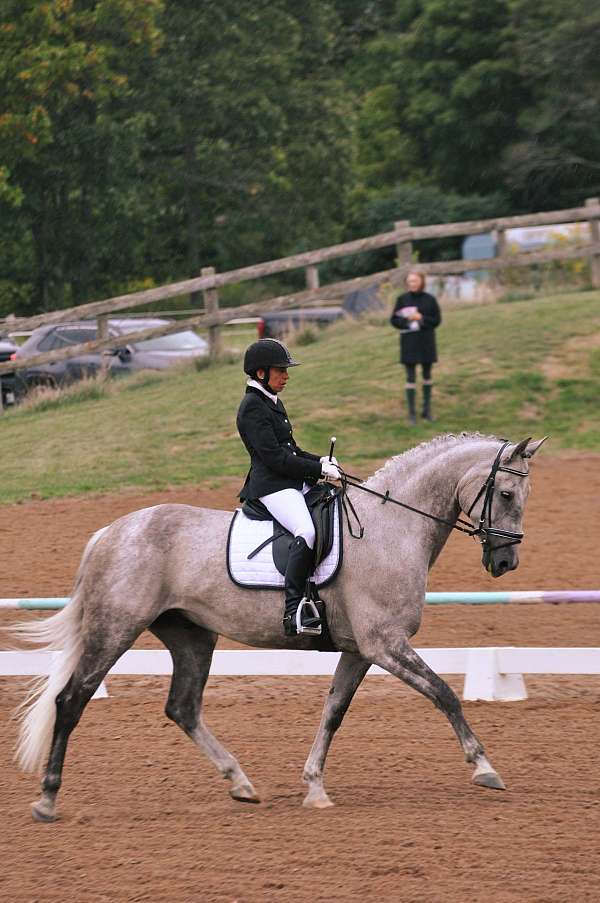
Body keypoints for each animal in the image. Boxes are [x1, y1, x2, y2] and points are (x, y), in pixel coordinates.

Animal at [13, 432, 546, 822]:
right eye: (505, 493)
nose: (506, 563)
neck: (389, 531)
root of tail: (111, 532)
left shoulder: (361, 650)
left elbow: (333, 712)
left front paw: (314, 788)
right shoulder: (385, 644)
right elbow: (444, 694)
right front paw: (484, 768)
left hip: (191, 635)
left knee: (183, 707)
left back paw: (241, 783)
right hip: (116, 628)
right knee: (71, 701)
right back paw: (47, 800)